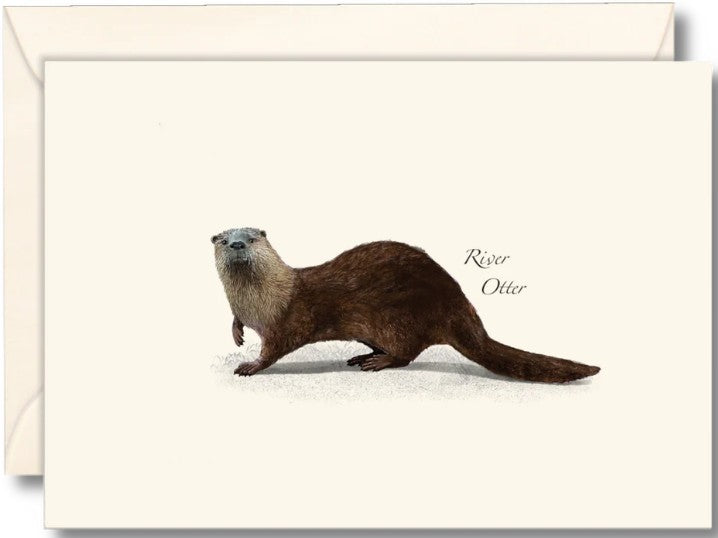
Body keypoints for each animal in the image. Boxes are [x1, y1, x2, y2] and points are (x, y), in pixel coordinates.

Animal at [211, 228, 600, 383]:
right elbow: (237, 321)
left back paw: (377, 361)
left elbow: (275, 348)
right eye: (224, 239)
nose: (237, 245)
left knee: (408, 352)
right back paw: (362, 355)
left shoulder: (288, 320)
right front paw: (236, 331)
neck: (262, 301)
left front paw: (251, 365)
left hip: (397, 319)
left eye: (250, 238)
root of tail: (459, 305)